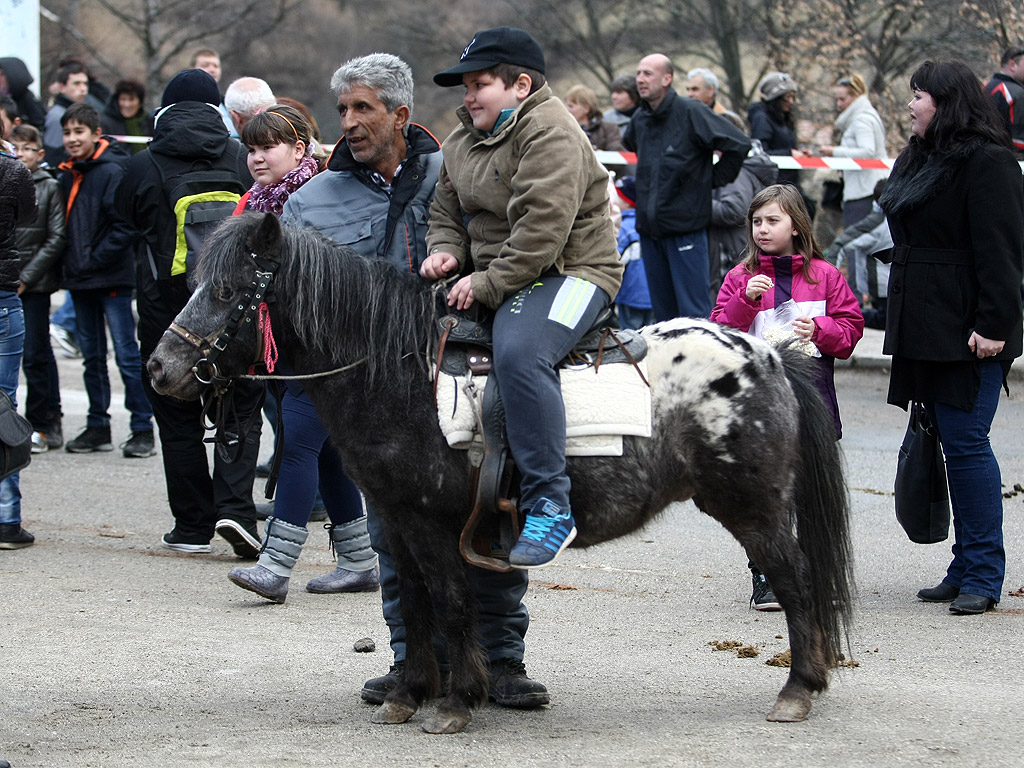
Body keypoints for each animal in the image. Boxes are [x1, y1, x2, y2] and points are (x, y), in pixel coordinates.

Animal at [148, 214, 851, 737]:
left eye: (228, 292)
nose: (160, 369)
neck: (397, 372)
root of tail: (767, 356)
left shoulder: (433, 525)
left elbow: (452, 602)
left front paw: (456, 702)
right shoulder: (396, 519)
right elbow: (414, 603)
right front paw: (408, 693)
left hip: (752, 507)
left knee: (794, 580)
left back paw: (798, 688)